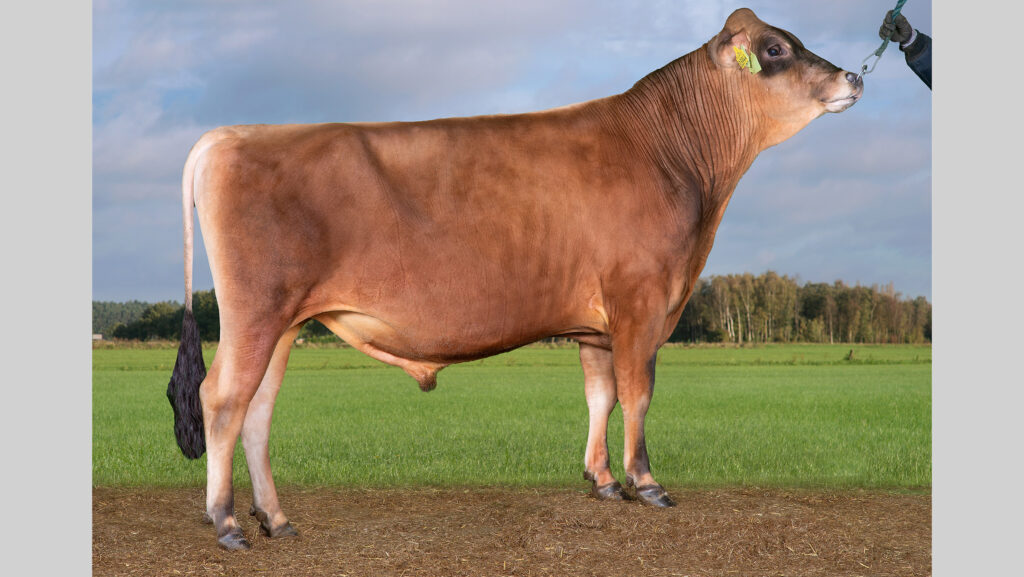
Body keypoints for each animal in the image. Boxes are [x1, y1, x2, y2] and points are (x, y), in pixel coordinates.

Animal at [167, 8, 862, 550]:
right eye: (776, 49)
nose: (853, 76)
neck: (676, 158)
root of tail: (229, 136)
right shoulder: (641, 302)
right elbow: (638, 394)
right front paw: (646, 483)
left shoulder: (596, 325)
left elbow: (600, 395)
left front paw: (603, 481)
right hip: (256, 311)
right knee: (222, 400)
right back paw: (226, 522)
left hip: (284, 321)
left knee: (257, 410)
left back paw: (276, 518)